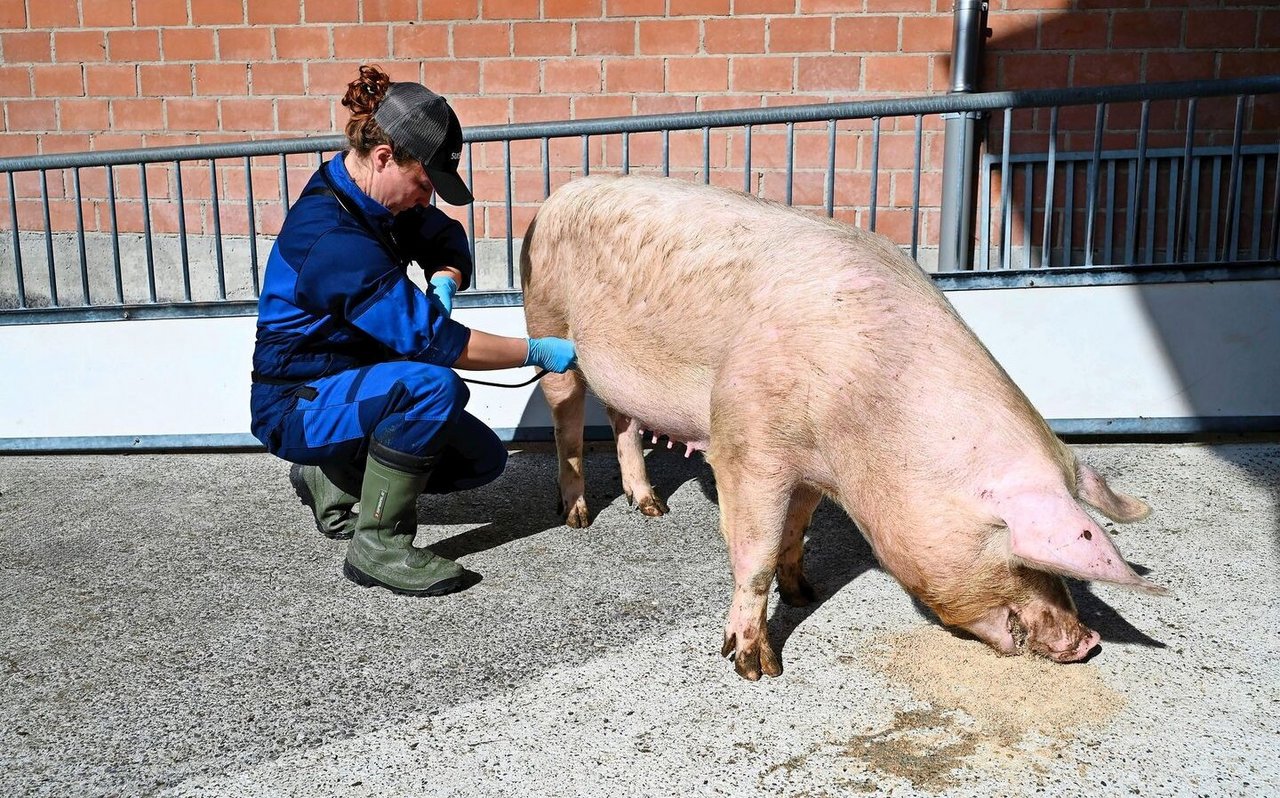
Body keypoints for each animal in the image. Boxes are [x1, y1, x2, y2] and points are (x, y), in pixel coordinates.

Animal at [517, 174, 1162, 681]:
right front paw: (755, 669)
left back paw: (651, 508)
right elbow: (754, 555)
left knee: (622, 421)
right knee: (567, 422)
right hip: (547, 325)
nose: (1089, 642)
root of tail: (557, 195)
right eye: (1024, 556)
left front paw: (808, 592)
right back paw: (576, 516)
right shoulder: (747, 447)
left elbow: (794, 534)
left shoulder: (812, 470)